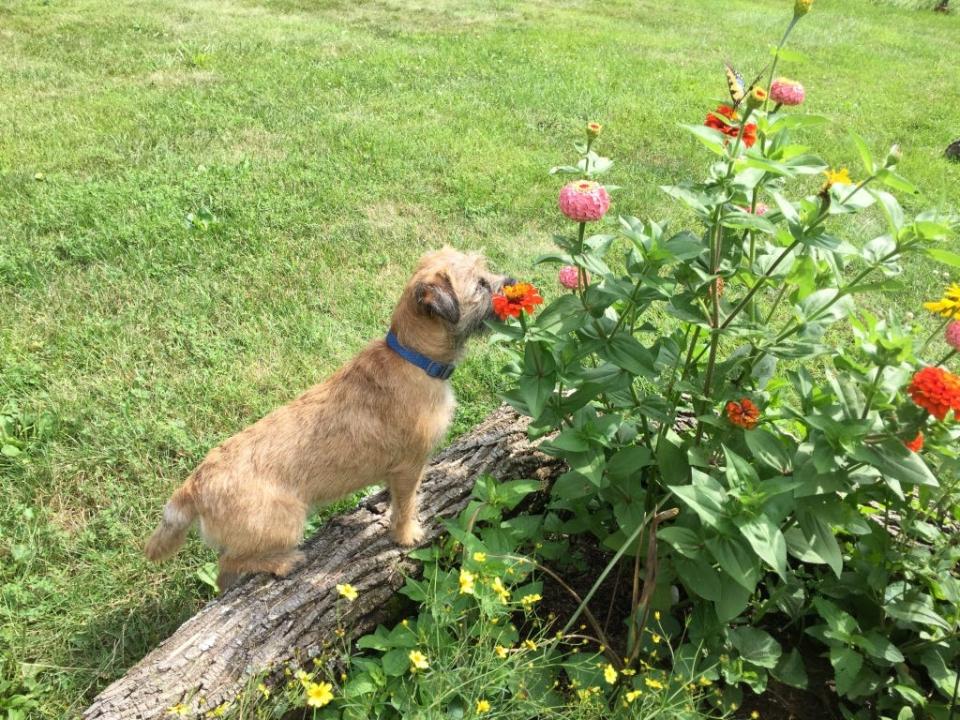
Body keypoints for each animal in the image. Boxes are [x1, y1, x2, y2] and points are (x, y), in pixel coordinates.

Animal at [143, 248, 512, 592]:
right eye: (481, 284)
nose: (510, 281)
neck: (412, 357)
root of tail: (193, 486)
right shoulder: (410, 465)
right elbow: (406, 505)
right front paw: (406, 535)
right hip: (286, 522)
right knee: (230, 561)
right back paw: (283, 562)